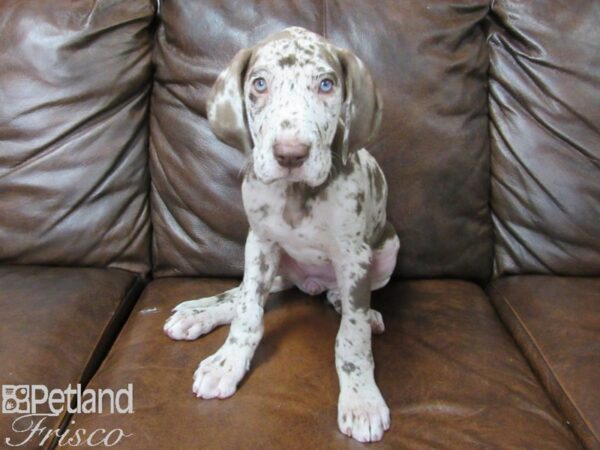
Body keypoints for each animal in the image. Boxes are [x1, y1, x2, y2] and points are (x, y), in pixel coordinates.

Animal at [164, 25, 398, 442]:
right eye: (259, 84)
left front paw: (361, 398)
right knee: (245, 293)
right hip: (272, 262)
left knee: (348, 302)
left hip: (387, 250)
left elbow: (351, 339)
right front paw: (228, 362)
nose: (290, 154)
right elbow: (247, 313)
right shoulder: (260, 243)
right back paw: (197, 312)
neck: (296, 193)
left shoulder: (354, 258)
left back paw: (357, 309)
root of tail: (311, 285)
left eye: (326, 84)